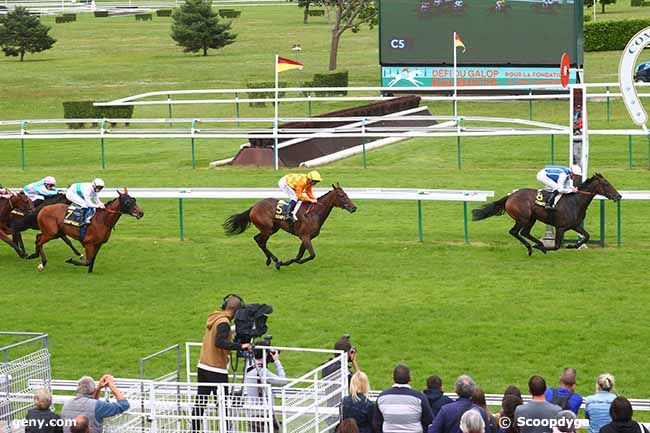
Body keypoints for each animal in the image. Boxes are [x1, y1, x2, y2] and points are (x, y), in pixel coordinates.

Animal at [221, 183, 354, 270]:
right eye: (341, 195)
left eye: (346, 193)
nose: (354, 208)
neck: (314, 213)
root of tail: (253, 207)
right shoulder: (305, 236)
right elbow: (311, 255)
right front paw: (287, 262)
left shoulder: (306, 237)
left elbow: (300, 254)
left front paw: (292, 261)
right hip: (267, 228)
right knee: (261, 241)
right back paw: (275, 261)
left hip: (273, 228)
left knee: (258, 240)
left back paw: (270, 260)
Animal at [474, 172, 620, 253]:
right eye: (606, 184)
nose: (618, 196)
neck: (575, 202)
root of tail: (510, 196)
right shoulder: (560, 227)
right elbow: (556, 246)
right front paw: (546, 247)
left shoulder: (575, 225)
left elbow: (586, 236)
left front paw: (572, 245)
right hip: (523, 218)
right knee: (515, 232)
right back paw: (532, 247)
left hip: (531, 218)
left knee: (525, 232)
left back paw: (538, 244)